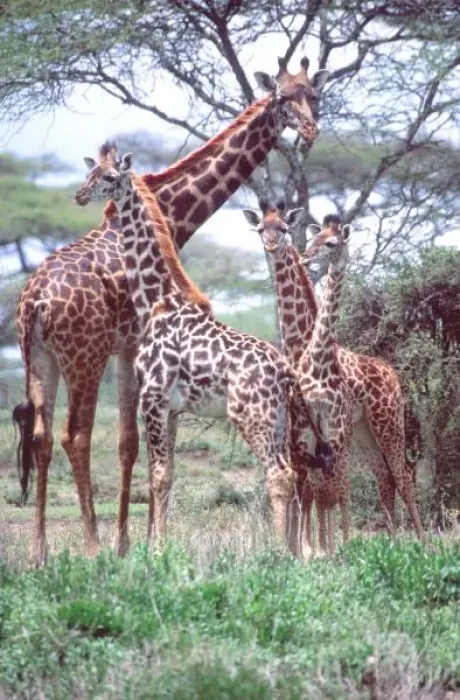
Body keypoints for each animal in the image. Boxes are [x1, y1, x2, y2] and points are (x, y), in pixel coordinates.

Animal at [73, 146, 297, 548]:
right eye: (91, 172)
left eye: (110, 177)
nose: (80, 195)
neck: (157, 301)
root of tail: (284, 371)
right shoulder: (174, 408)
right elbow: (169, 476)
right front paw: (158, 544)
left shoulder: (153, 398)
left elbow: (158, 476)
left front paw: (158, 548)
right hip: (279, 418)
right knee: (294, 475)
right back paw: (296, 549)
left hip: (251, 415)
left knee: (278, 474)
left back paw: (279, 551)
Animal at [243, 204, 424, 556]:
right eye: (259, 229)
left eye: (283, 228)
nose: (305, 256)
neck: (305, 349)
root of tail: (390, 371)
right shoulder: (302, 434)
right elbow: (310, 490)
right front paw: (306, 550)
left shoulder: (331, 433)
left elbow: (331, 490)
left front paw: (323, 550)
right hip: (364, 433)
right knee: (383, 479)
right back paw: (393, 543)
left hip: (387, 423)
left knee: (402, 476)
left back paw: (426, 546)